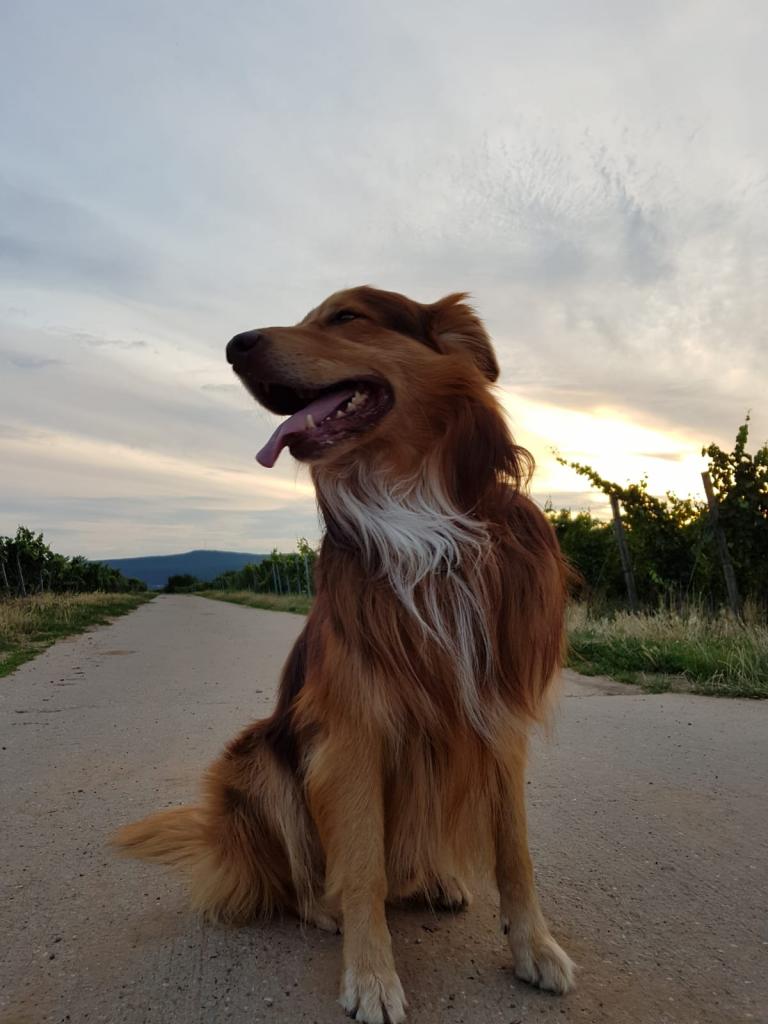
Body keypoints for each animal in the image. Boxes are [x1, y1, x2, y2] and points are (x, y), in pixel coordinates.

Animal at [112, 286, 575, 1023]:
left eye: (347, 317)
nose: (234, 346)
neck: (419, 508)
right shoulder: (351, 727)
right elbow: (360, 866)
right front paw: (372, 976)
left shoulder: (496, 710)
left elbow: (515, 852)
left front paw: (536, 948)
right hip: (257, 757)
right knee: (303, 880)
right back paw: (325, 910)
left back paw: (436, 879)